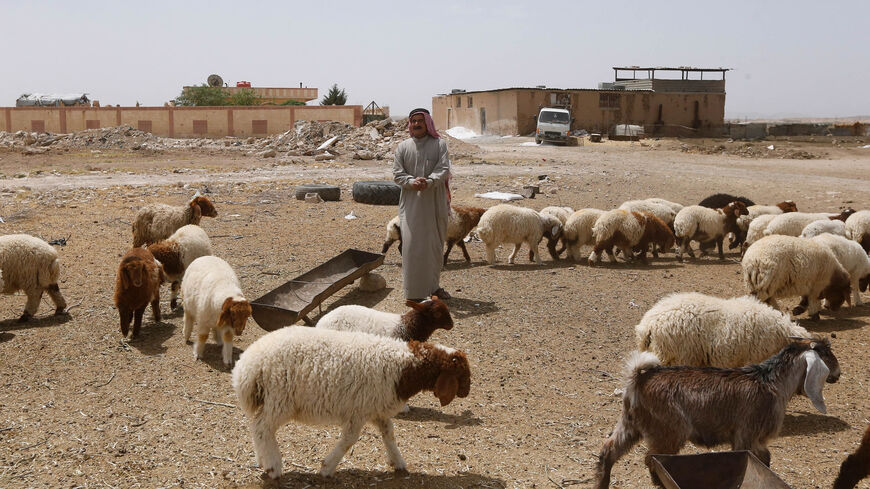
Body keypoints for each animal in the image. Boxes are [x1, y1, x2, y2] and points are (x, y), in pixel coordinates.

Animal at [230, 326, 470, 478]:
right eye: (461, 374)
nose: (467, 391)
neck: (403, 368)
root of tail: (249, 366)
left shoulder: (376, 409)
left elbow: (389, 434)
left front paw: (398, 463)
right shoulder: (358, 412)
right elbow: (349, 440)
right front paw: (327, 468)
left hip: (273, 400)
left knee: (257, 427)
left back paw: (263, 460)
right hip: (280, 399)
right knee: (262, 428)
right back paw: (273, 467)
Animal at [596, 338, 840, 488]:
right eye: (826, 354)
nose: (838, 373)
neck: (771, 382)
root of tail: (638, 379)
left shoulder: (755, 441)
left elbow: (765, 460)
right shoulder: (746, 436)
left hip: (630, 424)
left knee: (609, 450)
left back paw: (602, 482)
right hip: (668, 431)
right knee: (652, 459)